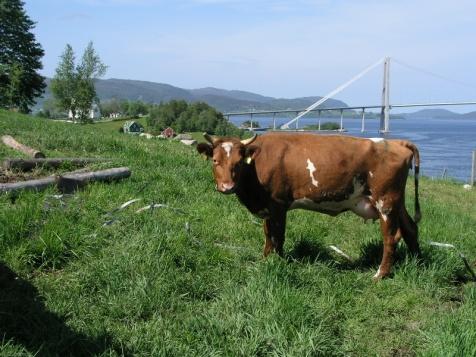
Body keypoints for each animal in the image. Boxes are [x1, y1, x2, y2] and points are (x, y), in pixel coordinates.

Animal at [196, 131, 420, 278]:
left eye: (239, 162)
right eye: (215, 160)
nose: (227, 186)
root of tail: (397, 142)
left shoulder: (278, 204)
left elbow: (278, 236)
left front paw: (278, 262)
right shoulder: (268, 207)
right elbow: (267, 234)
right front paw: (265, 259)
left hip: (386, 201)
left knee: (390, 237)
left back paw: (380, 275)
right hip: (397, 202)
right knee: (410, 228)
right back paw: (417, 261)